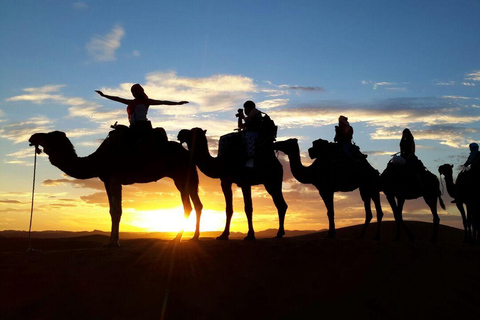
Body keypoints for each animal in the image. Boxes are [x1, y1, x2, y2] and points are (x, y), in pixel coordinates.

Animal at [29, 126, 202, 246]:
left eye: (50, 136)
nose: (32, 136)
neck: (97, 160)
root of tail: (189, 154)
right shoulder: (106, 180)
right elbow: (112, 210)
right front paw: (111, 241)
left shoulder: (114, 177)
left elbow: (117, 211)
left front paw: (114, 243)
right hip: (189, 178)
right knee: (198, 204)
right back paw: (194, 237)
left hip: (180, 175)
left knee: (188, 206)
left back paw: (177, 238)